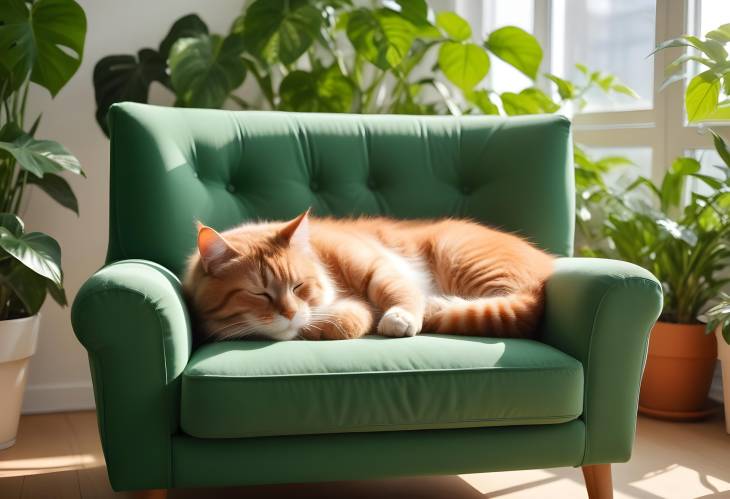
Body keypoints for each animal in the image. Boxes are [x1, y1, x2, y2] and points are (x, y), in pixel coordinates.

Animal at [182, 209, 552, 342]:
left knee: (514, 306)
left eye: (298, 286)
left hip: (461, 254)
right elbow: (345, 320)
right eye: (259, 293)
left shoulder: (377, 264)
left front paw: (399, 318)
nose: (288, 313)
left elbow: (396, 292)